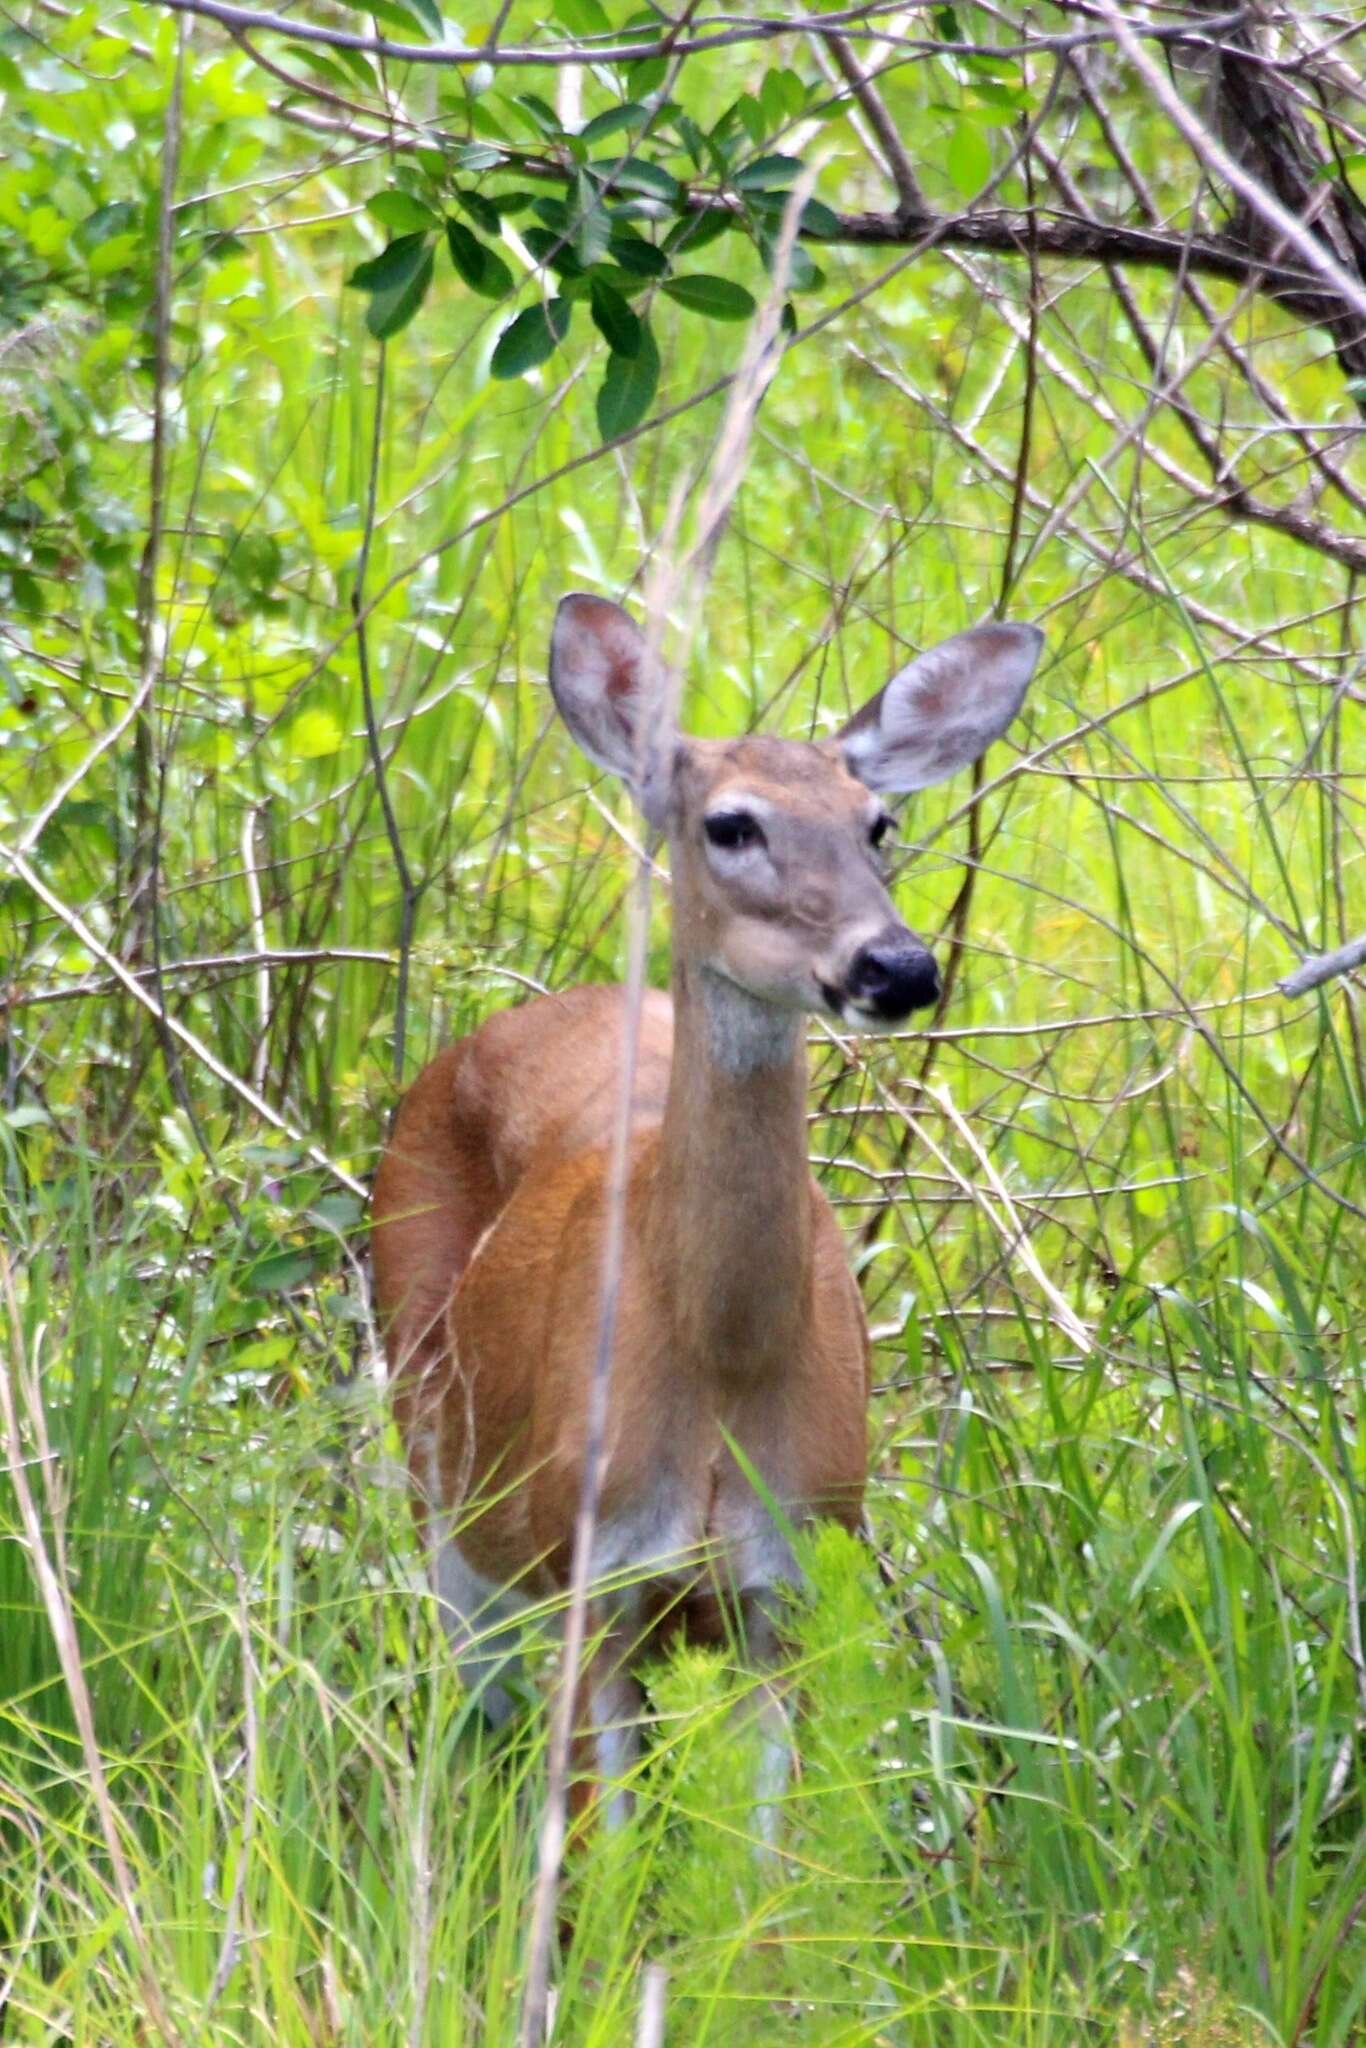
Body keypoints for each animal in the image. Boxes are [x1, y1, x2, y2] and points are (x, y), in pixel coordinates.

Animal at [368, 593, 1040, 1826]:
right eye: (731, 824)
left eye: (878, 822)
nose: (898, 966)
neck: (720, 1368)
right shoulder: (594, 1569)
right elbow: (605, 1842)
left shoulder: (794, 1578)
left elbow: (769, 1857)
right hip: (441, 1482)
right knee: (475, 1714)